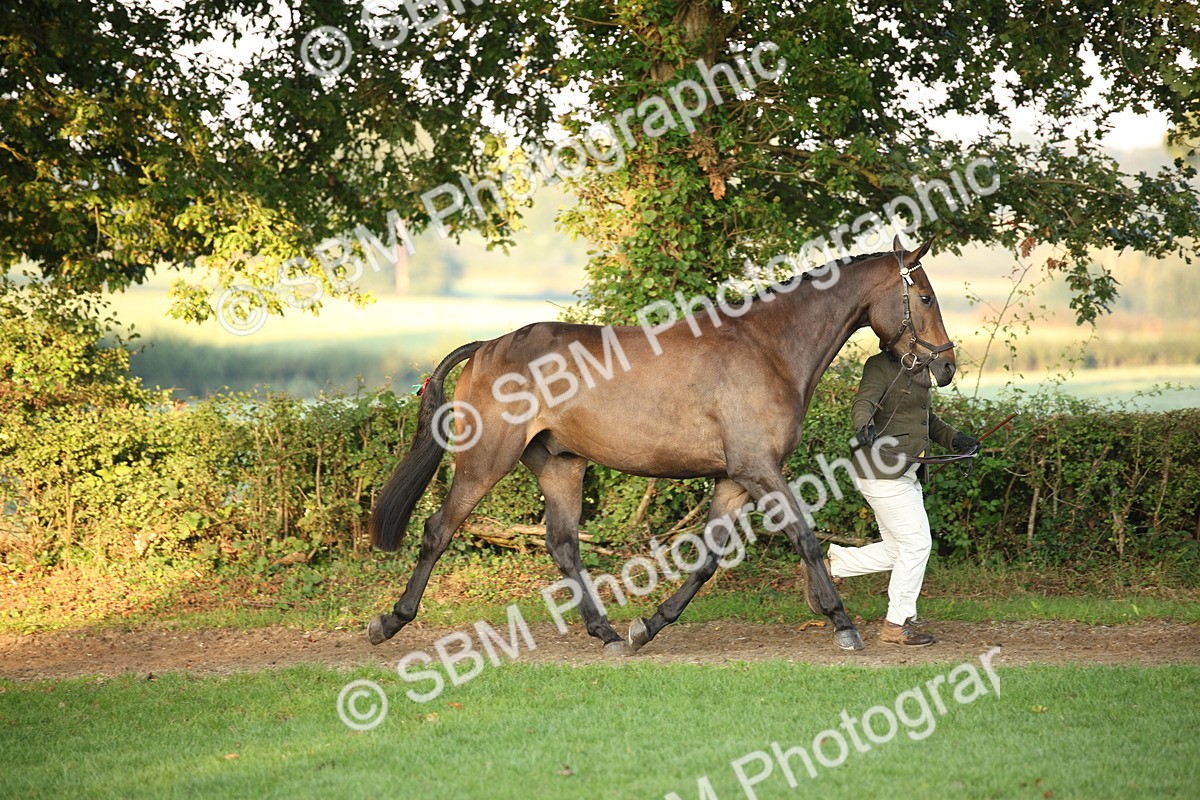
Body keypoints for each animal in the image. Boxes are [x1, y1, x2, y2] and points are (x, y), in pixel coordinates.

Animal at [367, 235, 956, 654]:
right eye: (926, 296)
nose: (947, 365)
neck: (769, 346)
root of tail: (489, 345)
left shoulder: (734, 479)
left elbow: (709, 558)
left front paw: (648, 626)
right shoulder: (760, 470)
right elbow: (806, 539)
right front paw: (841, 622)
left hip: (560, 465)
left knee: (563, 545)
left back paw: (606, 632)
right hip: (485, 461)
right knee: (438, 530)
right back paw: (390, 621)